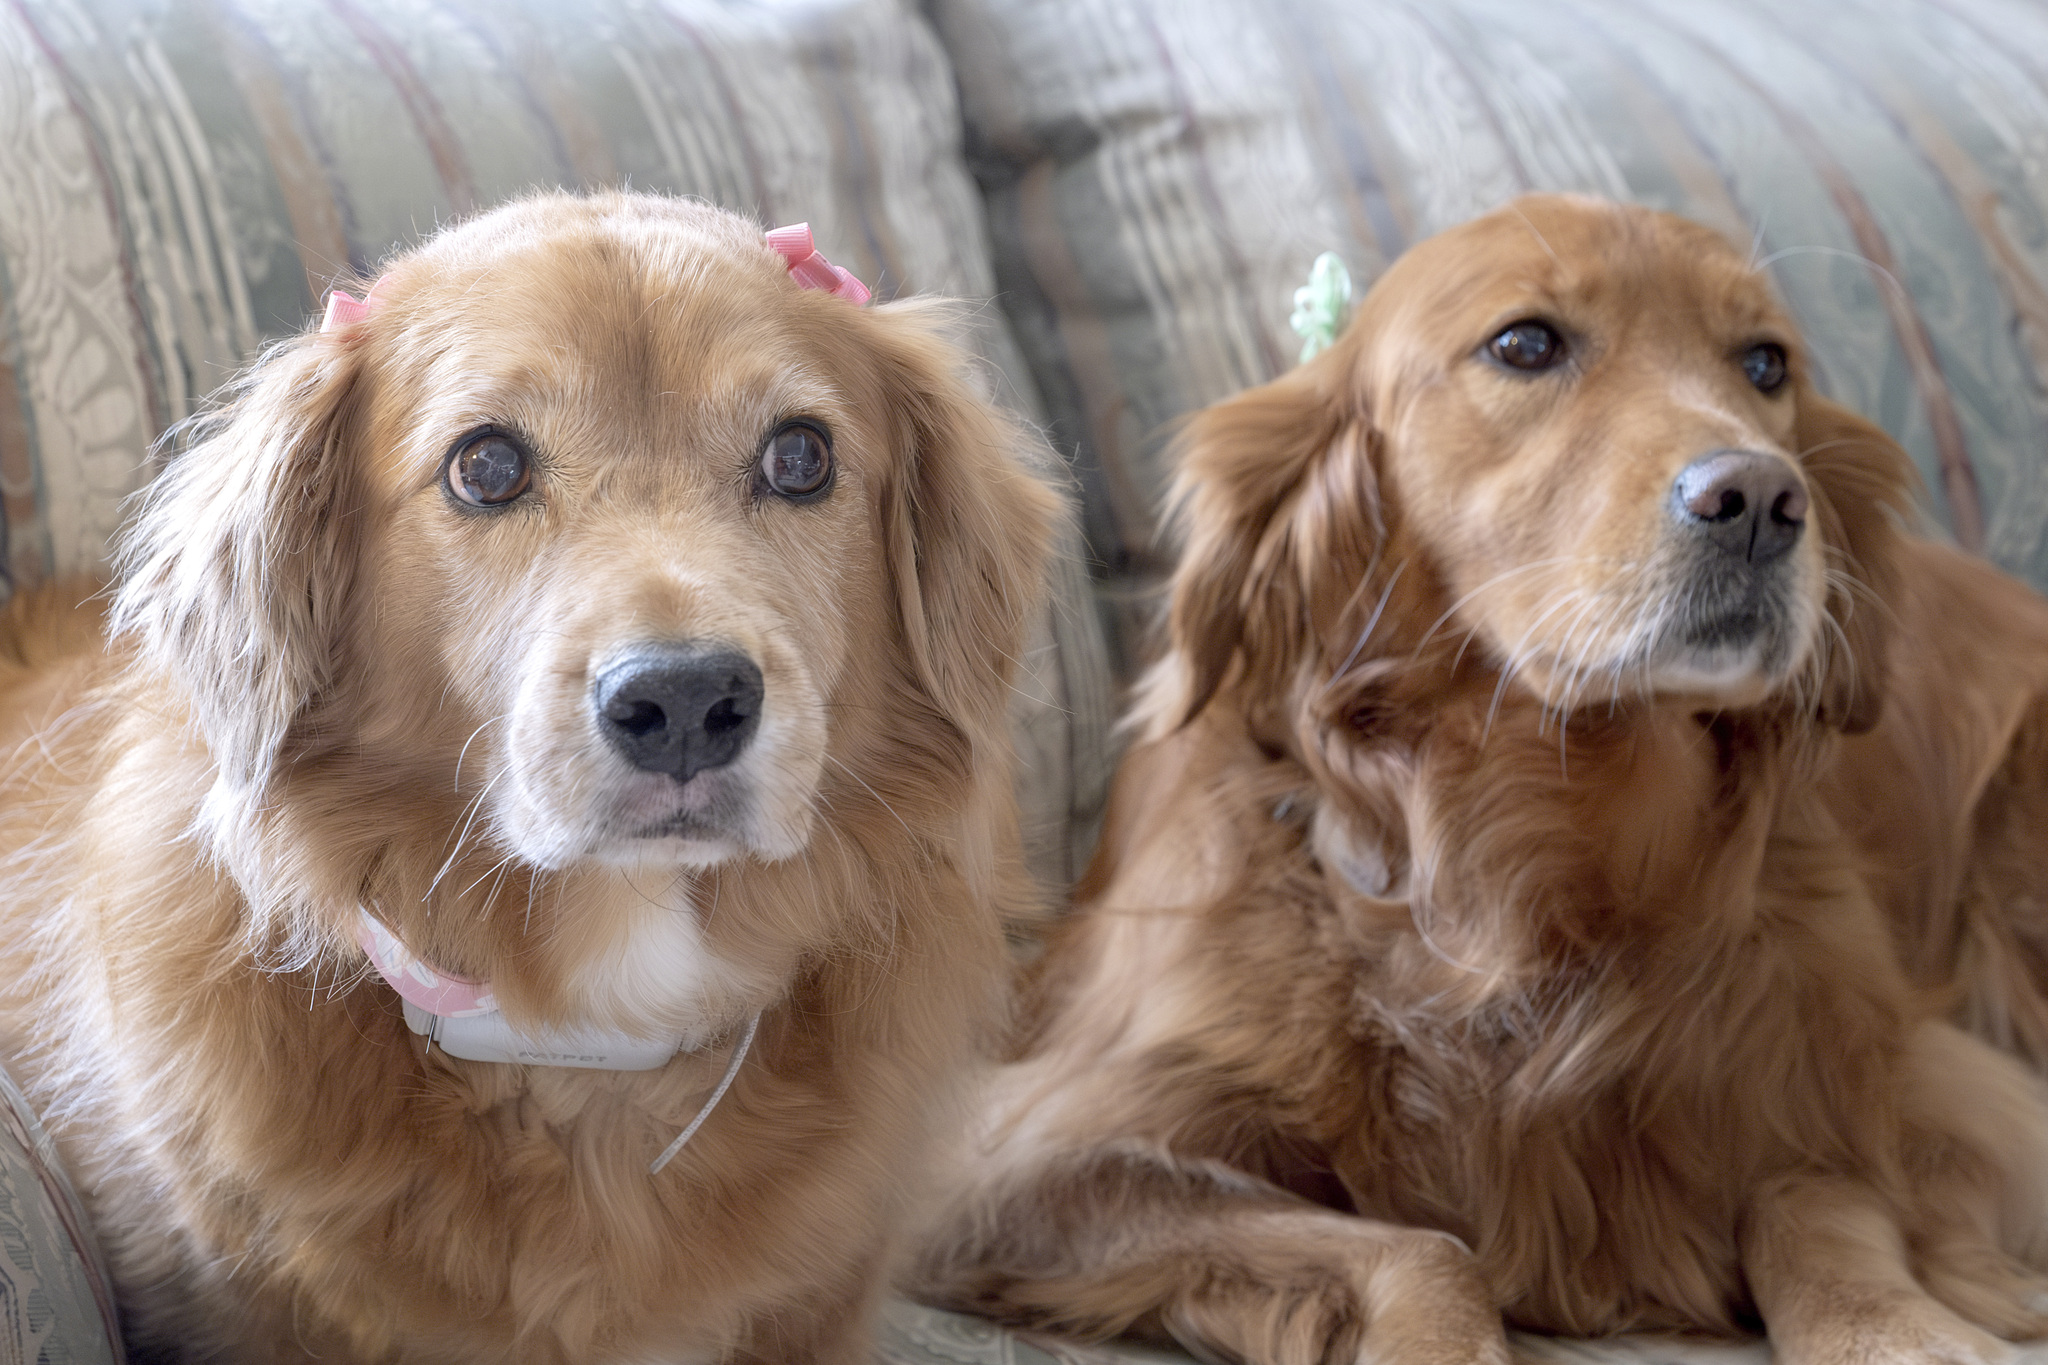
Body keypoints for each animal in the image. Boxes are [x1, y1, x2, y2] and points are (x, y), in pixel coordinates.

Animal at [921, 194, 2048, 1365]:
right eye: (1525, 345)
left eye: (1764, 362)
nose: (1760, 498)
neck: (1543, 851)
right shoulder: (1022, 1160)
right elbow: (1426, 1248)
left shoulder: (1924, 1089)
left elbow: (1811, 1203)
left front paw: (1905, 1328)